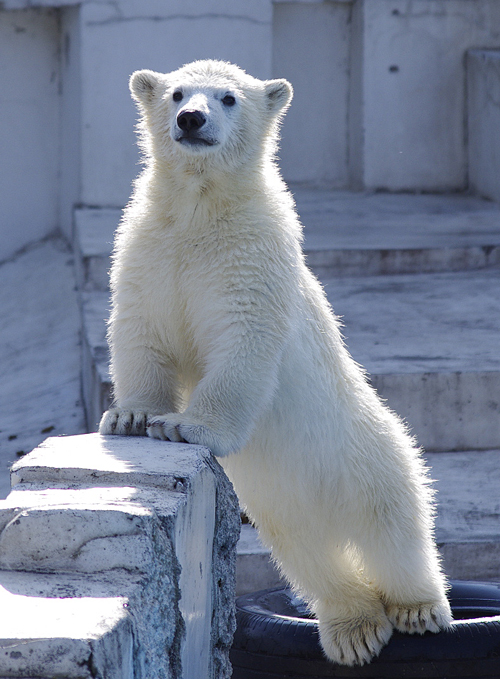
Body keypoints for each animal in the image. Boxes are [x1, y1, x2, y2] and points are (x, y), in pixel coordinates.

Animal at [99, 61, 452, 668]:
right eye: (175, 93)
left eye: (228, 97)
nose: (190, 119)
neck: (201, 211)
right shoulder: (150, 249)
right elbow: (142, 331)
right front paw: (130, 416)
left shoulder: (252, 255)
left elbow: (243, 341)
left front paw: (185, 426)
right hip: (277, 507)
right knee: (310, 555)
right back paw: (355, 629)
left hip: (365, 449)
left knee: (394, 526)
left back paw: (417, 608)